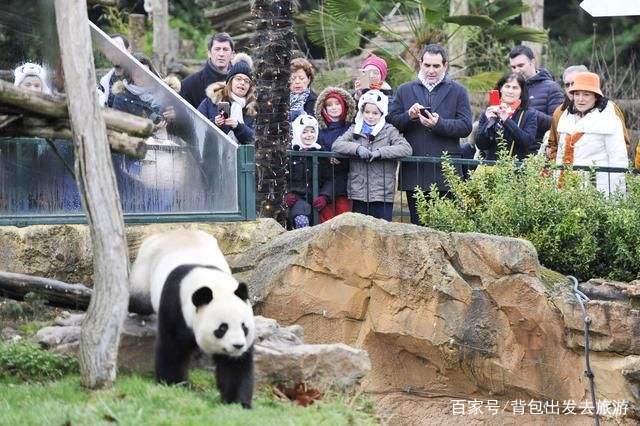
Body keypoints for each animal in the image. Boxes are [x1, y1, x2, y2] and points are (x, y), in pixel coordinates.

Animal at [129, 230, 256, 410]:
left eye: (244, 327)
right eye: (222, 328)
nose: (237, 345)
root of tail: (168, 232)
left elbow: (235, 367)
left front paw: (238, 403)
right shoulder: (175, 303)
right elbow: (172, 347)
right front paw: (172, 384)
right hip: (144, 270)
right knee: (139, 300)